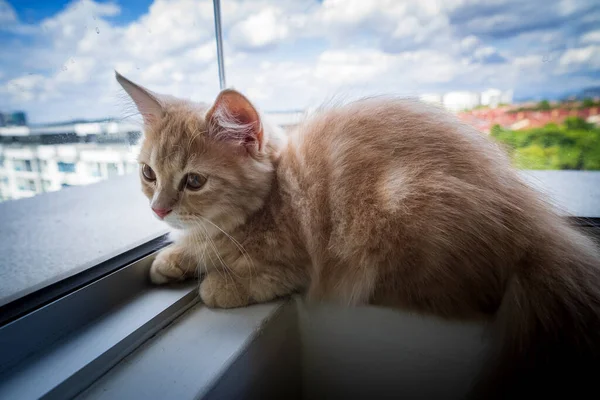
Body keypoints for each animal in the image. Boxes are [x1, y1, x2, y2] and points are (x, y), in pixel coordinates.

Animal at [117, 72, 600, 400]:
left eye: (194, 181)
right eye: (148, 174)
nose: (158, 208)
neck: (266, 201)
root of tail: (533, 225)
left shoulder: (296, 266)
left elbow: (249, 277)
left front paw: (216, 283)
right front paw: (173, 258)